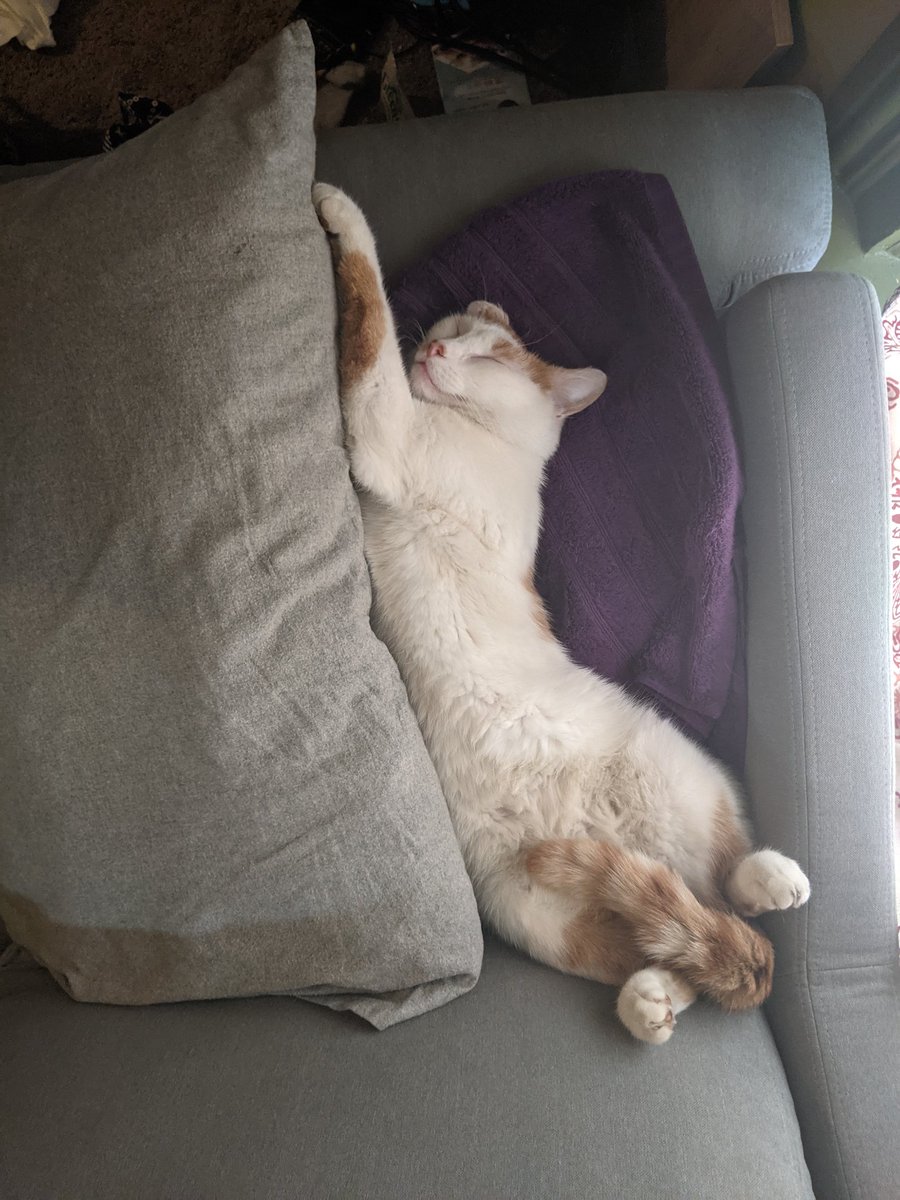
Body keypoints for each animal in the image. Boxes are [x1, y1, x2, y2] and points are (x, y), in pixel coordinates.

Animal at [313, 182, 810, 1044]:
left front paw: (339, 208)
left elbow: (367, 312)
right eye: (447, 334)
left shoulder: (385, 431)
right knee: (693, 936)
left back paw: (772, 877)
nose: (435, 354)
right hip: (547, 918)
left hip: (678, 780)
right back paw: (652, 999)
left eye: (488, 355)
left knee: (729, 886)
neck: (490, 442)